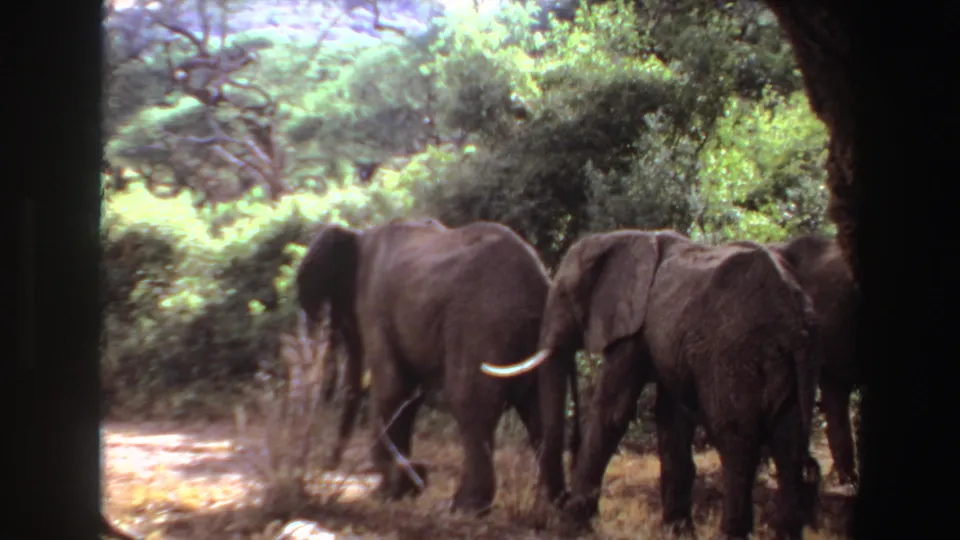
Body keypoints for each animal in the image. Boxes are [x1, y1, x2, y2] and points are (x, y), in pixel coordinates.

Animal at [295, 217, 579, 515]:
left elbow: (393, 387)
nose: (330, 466)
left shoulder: (374, 304)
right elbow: (409, 395)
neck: (358, 235)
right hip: (536, 334)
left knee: (468, 400)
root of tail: (538, 281)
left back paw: (462, 508)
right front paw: (403, 487)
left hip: (482, 326)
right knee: (539, 411)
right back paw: (553, 505)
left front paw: (390, 489)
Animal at [483, 229, 822, 540]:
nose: (556, 504)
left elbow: (613, 410)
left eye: (565, 295)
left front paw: (571, 524)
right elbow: (670, 419)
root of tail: (794, 319)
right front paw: (677, 532)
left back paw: (730, 534)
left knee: (736, 439)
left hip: (737, 355)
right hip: (788, 364)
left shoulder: (634, 327)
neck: (623, 238)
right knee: (788, 444)